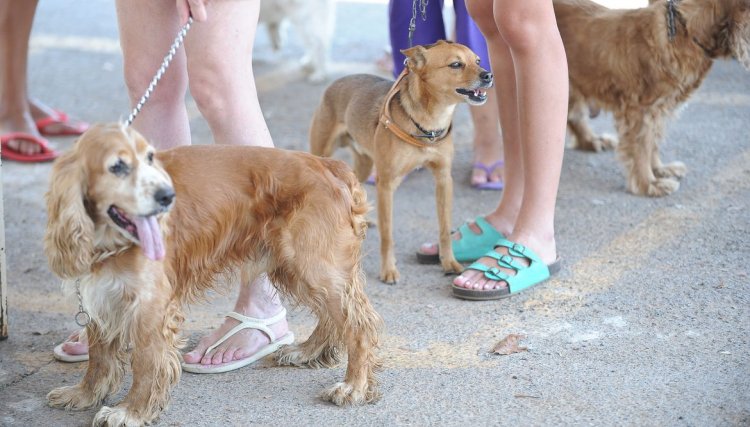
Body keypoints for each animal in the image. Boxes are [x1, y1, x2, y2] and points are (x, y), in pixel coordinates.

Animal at [42, 123, 382, 424]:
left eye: (150, 158)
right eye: (117, 166)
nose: (168, 196)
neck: (109, 239)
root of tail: (328, 164)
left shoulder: (150, 306)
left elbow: (146, 363)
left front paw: (131, 412)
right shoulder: (102, 294)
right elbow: (98, 357)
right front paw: (84, 395)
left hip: (312, 264)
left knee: (358, 324)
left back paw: (353, 386)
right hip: (297, 267)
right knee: (333, 317)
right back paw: (307, 352)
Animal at [310, 41, 494, 284]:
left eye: (478, 61)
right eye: (456, 64)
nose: (489, 75)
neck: (429, 124)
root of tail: (336, 82)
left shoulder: (443, 179)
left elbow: (444, 228)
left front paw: (449, 262)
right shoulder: (386, 185)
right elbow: (388, 234)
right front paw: (388, 270)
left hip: (365, 164)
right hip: (322, 153)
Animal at [556, 0, 748, 196]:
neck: (685, 30)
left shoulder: (659, 109)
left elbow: (653, 142)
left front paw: (659, 170)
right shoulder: (639, 111)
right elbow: (641, 147)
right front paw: (648, 183)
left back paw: (591, 140)